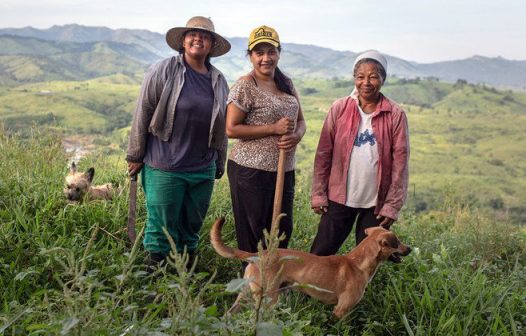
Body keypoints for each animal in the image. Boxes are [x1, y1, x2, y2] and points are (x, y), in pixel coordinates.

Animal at [210, 217, 412, 318]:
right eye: (398, 242)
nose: (410, 249)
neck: (358, 263)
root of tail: (256, 255)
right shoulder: (341, 310)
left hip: (245, 295)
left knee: (229, 315)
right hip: (268, 299)